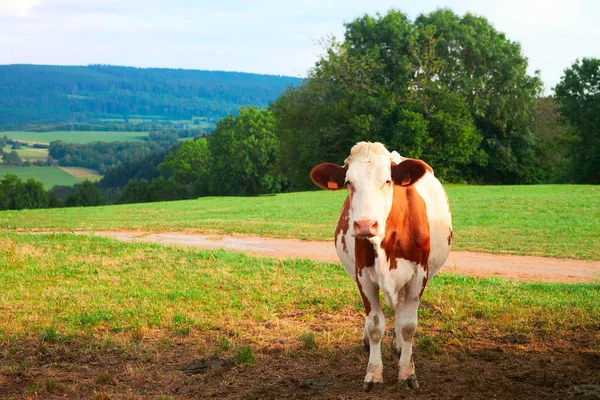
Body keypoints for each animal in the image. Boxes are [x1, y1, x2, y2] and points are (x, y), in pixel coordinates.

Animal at [312, 141, 452, 390]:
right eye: (348, 182)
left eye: (387, 181)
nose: (365, 225)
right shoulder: (363, 276)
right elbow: (375, 324)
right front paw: (374, 373)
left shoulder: (418, 275)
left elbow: (408, 325)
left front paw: (407, 372)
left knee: (401, 312)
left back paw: (399, 347)